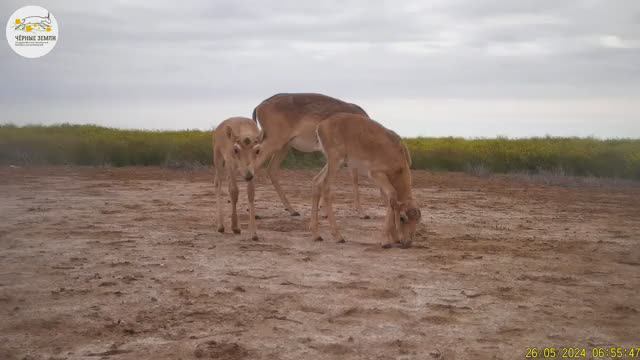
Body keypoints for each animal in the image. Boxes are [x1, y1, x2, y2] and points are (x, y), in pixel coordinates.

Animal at [310, 113, 420, 248]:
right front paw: (385, 241)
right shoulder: (377, 174)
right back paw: (338, 237)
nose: (408, 242)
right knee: (326, 186)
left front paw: (393, 238)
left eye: (417, 220)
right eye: (403, 218)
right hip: (336, 161)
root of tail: (321, 126)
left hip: (335, 163)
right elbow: (392, 195)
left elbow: (389, 201)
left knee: (316, 182)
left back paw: (316, 235)